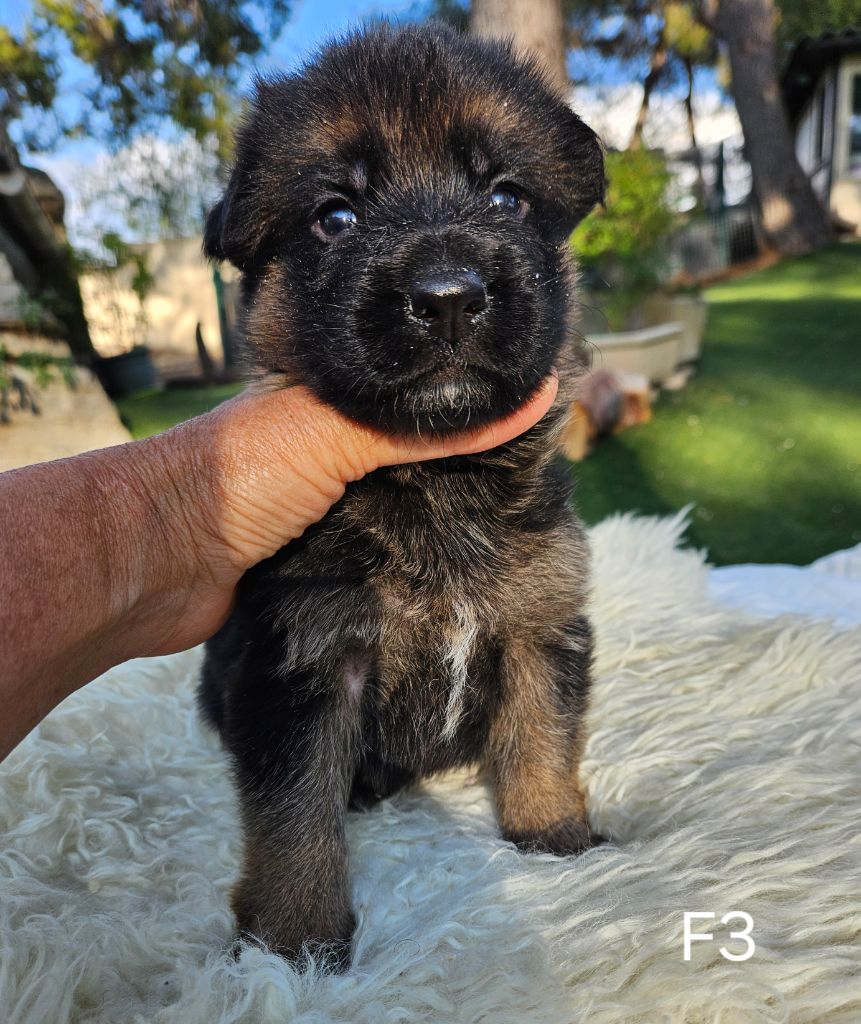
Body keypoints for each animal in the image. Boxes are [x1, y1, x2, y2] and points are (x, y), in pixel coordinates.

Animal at [200, 24, 606, 966]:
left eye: (506, 197)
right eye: (334, 216)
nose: (448, 297)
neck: (434, 484)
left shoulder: (542, 623)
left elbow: (542, 734)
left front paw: (551, 833)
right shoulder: (304, 664)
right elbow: (294, 813)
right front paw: (293, 943)